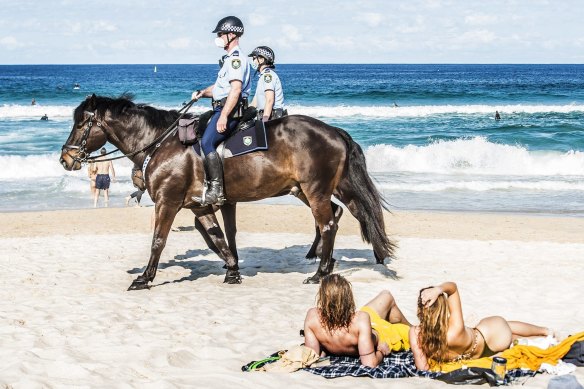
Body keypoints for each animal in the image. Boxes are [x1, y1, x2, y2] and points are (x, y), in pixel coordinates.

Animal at [60, 93, 396, 288]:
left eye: (80, 124)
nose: (65, 158)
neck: (161, 143)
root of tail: (334, 131)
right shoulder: (200, 206)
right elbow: (217, 237)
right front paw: (232, 270)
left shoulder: (167, 202)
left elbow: (158, 240)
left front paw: (144, 277)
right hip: (320, 188)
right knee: (353, 212)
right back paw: (360, 256)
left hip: (314, 190)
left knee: (328, 224)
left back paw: (321, 272)